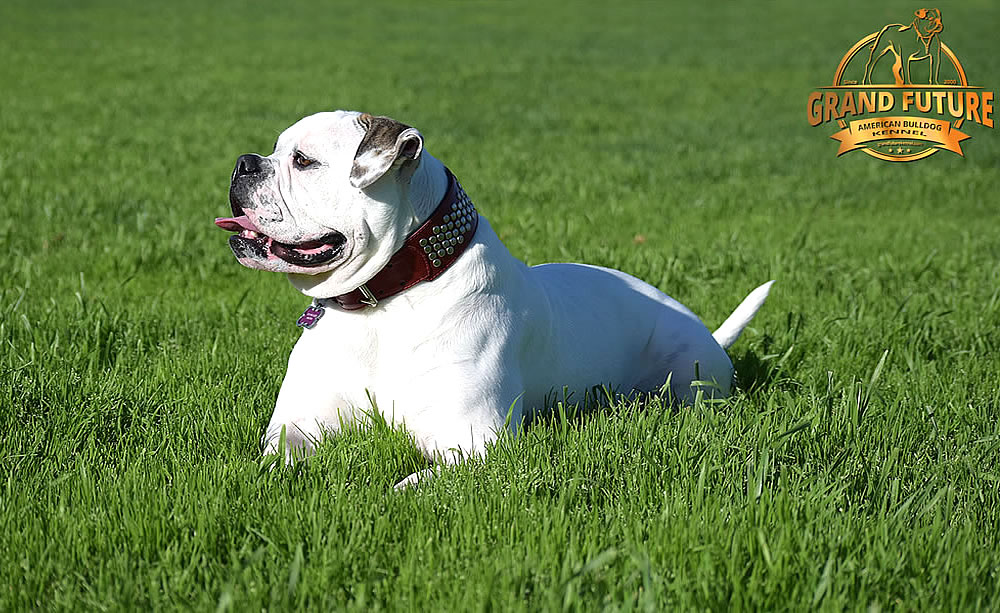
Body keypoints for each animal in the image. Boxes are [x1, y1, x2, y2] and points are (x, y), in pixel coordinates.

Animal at [213, 111, 772, 488]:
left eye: (303, 161)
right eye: (274, 150)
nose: (242, 163)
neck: (384, 305)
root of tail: (708, 333)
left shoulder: (473, 442)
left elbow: (407, 487)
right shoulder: (298, 425)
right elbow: (272, 461)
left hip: (689, 382)